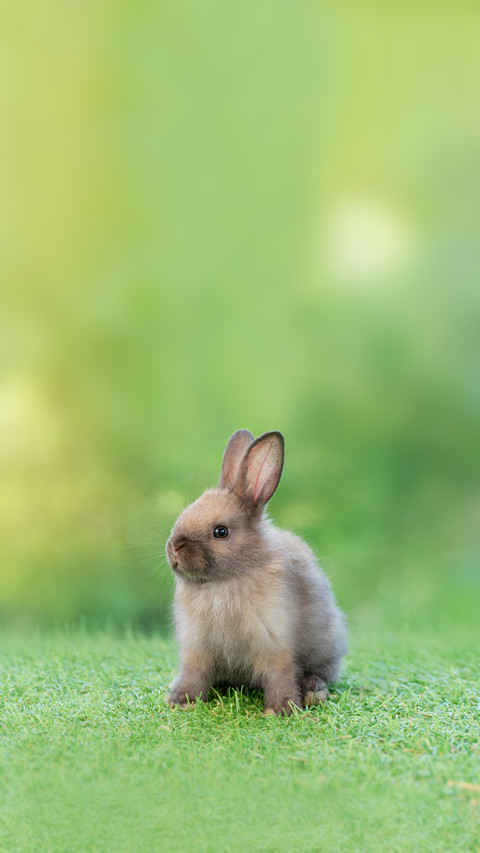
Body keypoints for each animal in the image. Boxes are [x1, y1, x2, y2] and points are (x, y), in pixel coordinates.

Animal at [165, 429, 347, 716]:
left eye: (221, 531)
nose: (175, 547)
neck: (224, 581)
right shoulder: (196, 649)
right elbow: (193, 675)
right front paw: (181, 701)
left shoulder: (275, 643)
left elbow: (279, 675)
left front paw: (279, 710)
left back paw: (313, 691)